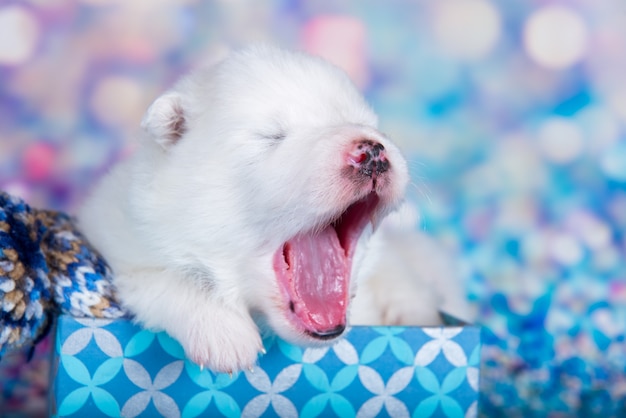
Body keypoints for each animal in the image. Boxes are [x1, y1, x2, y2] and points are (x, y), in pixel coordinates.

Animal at [78, 45, 458, 372]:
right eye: (272, 136)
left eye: (367, 123)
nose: (372, 151)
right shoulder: (122, 244)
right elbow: (163, 277)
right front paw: (224, 332)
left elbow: (396, 273)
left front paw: (416, 313)